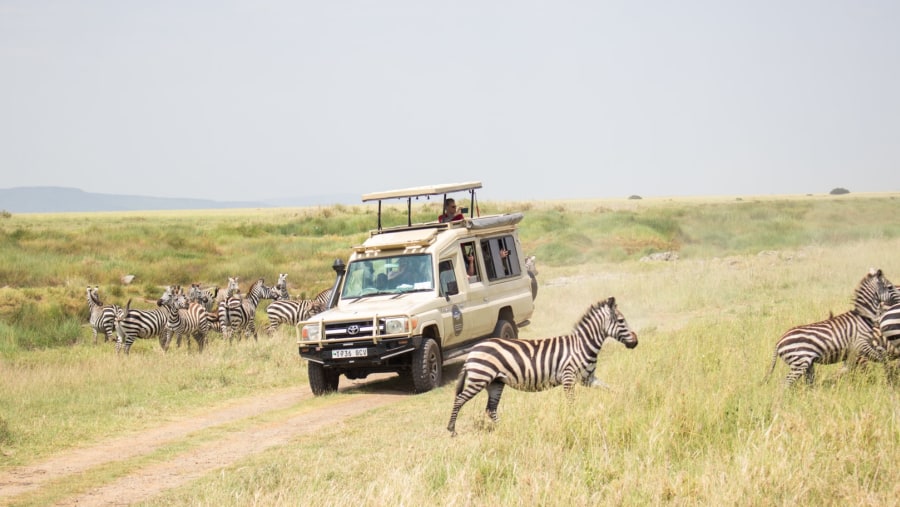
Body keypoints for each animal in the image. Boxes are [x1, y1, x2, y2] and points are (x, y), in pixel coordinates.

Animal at [446, 298, 636, 436]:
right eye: (621, 321)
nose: (636, 342)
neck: (582, 345)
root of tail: (473, 350)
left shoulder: (588, 378)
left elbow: (611, 389)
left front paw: (625, 400)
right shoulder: (569, 378)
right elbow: (571, 403)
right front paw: (572, 420)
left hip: (495, 382)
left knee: (490, 409)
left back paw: (507, 430)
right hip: (479, 378)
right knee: (459, 399)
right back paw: (452, 429)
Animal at [768, 268, 900, 386]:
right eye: (890, 287)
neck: (863, 316)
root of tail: (778, 343)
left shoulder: (857, 350)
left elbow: (881, 353)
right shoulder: (861, 345)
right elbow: (882, 358)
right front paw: (889, 378)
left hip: (807, 364)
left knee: (808, 384)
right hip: (800, 363)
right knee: (784, 384)